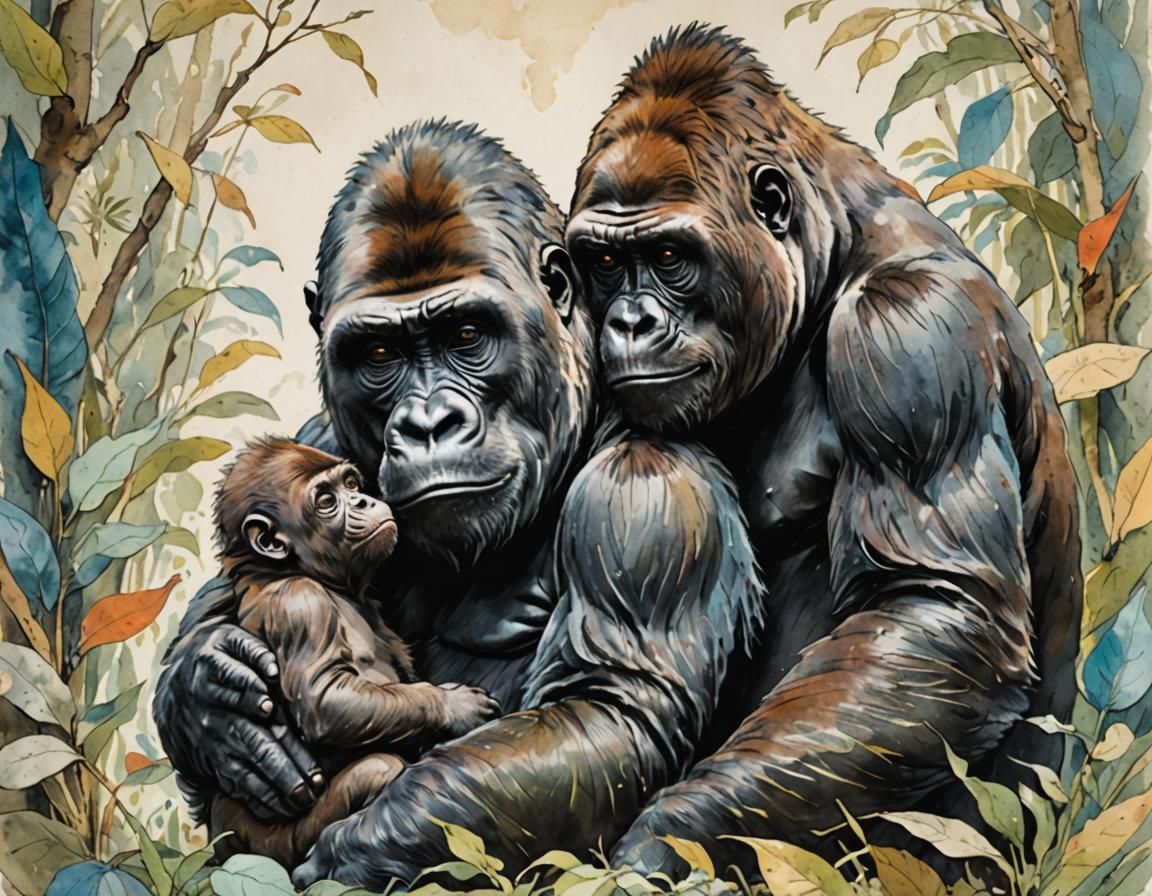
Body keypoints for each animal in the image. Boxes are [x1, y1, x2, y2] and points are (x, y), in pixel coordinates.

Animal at [206, 437, 500, 867]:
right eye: (327, 500)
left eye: (349, 484)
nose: (362, 500)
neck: (284, 571)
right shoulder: (301, 606)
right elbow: (323, 700)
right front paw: (454, 706)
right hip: (282, 843)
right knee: (378, 768)